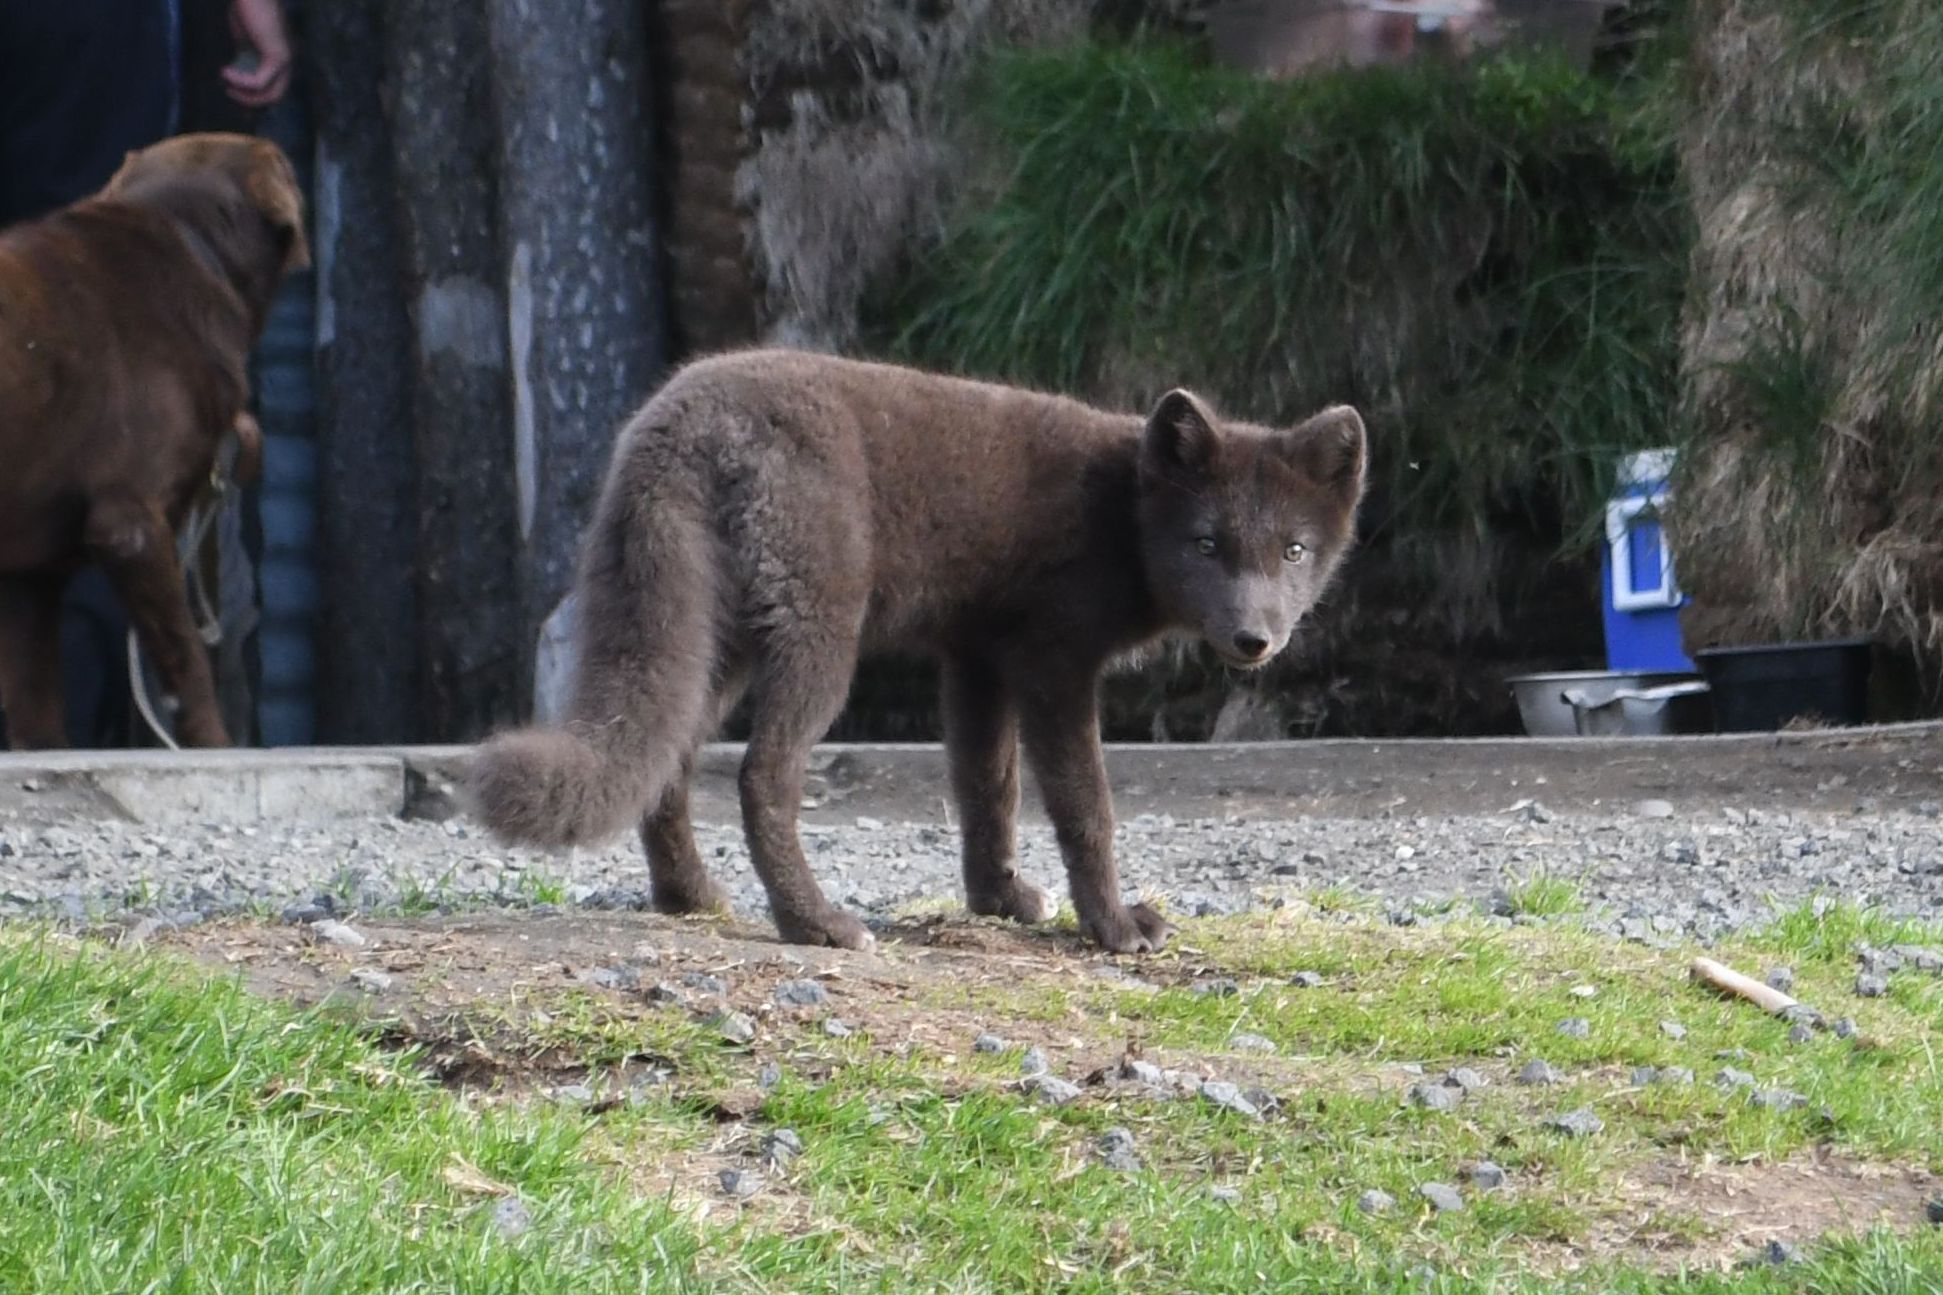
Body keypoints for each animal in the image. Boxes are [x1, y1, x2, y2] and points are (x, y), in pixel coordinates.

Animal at [469, 349, 1366, 954]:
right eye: (1205, 543)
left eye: (1292, 551)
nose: (1253, 638)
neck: (1119, 510)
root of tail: (671, 426)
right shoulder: (1053, 664)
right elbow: (1085, 807)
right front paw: (1115, 927)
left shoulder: (974, 658)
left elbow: (986, 788)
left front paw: (999, 900)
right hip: (817, 637)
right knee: (761, 776)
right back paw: (816, 924)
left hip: (715, 646)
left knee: (669, 765)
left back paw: (691, 899)